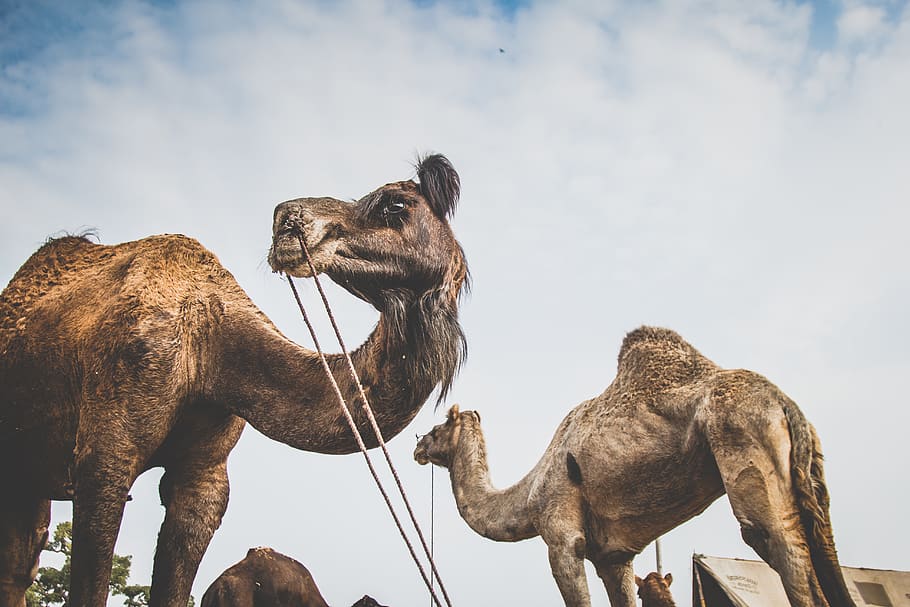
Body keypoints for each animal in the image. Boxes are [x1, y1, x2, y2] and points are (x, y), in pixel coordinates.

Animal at [0, 154, 467, 607]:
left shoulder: (205, 474)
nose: (286, 218)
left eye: (395, 204)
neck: (205, 339)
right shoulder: (106, 450)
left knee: (20, 564)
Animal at [414, 326, 855, 607]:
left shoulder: (563, 539)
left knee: (771, 539)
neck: (527, 497)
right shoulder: (614, 557)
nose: (417, 445)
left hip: (742, 439)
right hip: (807, 471)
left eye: (437, 427)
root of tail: (785, 404)